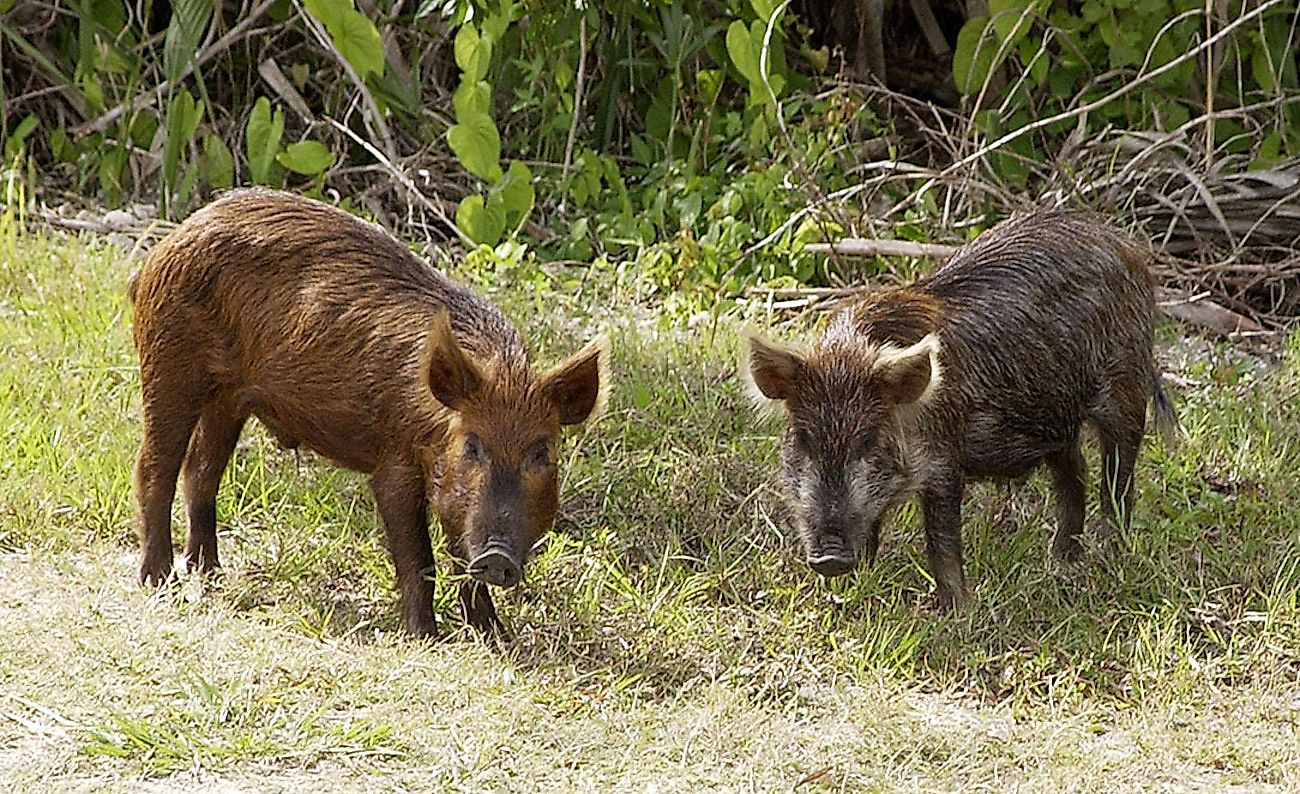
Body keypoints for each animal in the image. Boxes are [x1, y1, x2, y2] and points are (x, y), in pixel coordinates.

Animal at [129, 184, 605, 634]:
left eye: (541, 452)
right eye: (472, 446)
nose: (498, 556)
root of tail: (170, 241)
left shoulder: (454, 494)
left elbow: (459, 558)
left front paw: (496, 636)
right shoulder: (395, 464)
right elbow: (418, 558)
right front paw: (425, 637)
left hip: (229, 398)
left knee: (201, 471)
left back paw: (210, 574)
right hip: (169, 364)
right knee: (155, 467)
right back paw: (159, 580)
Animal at [743, 209, 1180, 608]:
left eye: (867, 440)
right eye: (804, 439)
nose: (830, 557)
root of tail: (1126, 246)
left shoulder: (943, 462)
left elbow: (942, 539)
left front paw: (955, 611)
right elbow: (872, 528)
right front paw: (850, 592)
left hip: (1125, 392)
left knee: (1118, 482)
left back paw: (1110, 557)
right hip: (1057, 421)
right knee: (1074, 475)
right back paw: (1061, 560)